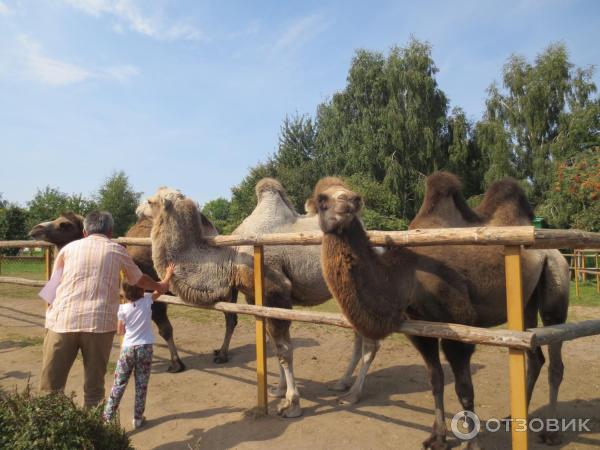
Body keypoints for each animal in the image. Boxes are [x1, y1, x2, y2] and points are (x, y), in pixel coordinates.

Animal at [142, 178, 380, 416]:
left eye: (150, 201)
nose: (137, 209)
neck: (232, 258)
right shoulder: (256, 298)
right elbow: (273, 345)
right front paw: (279, 390)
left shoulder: (276, 291)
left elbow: (284, 350)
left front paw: (292, 403)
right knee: (359, 334)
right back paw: (342, 383)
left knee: (371, 342)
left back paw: (353, 395)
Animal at [312, 175, 568, 450]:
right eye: (322, 200)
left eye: (348, 194)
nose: (351, 200)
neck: (406, 277)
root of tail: (552, 250)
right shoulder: (419, 331)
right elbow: (435, 381)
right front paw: (437, 437)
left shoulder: (460, 329)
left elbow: (465, 390)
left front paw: (472, 444)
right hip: (527, 300)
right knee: (535, 356)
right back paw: (513, 419)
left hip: (556, 278)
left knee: (555, 359)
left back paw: (552, 433)